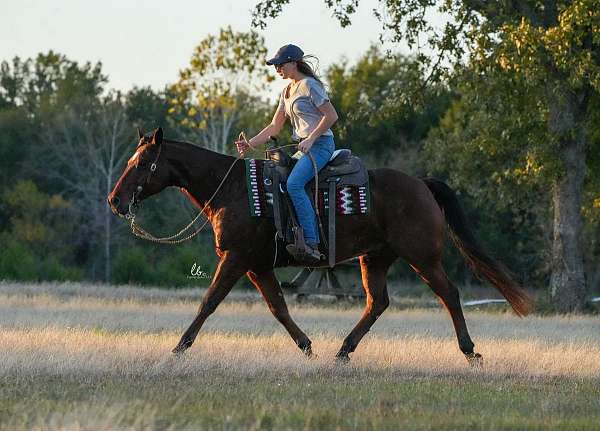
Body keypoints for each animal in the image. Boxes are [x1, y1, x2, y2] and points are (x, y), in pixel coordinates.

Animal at [105, 127, 532, 364]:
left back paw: (470, 351)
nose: (115, 200)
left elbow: (209, 302)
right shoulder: (258, 266)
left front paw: (179, 347)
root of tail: (422, 184)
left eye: (141, 164)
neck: (233, 190)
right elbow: (278, 307)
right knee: (377, 303)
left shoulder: (236, 259)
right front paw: (307, 346)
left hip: (422, 257)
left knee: (449, 294)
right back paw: (343, 350)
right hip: (375, 258)